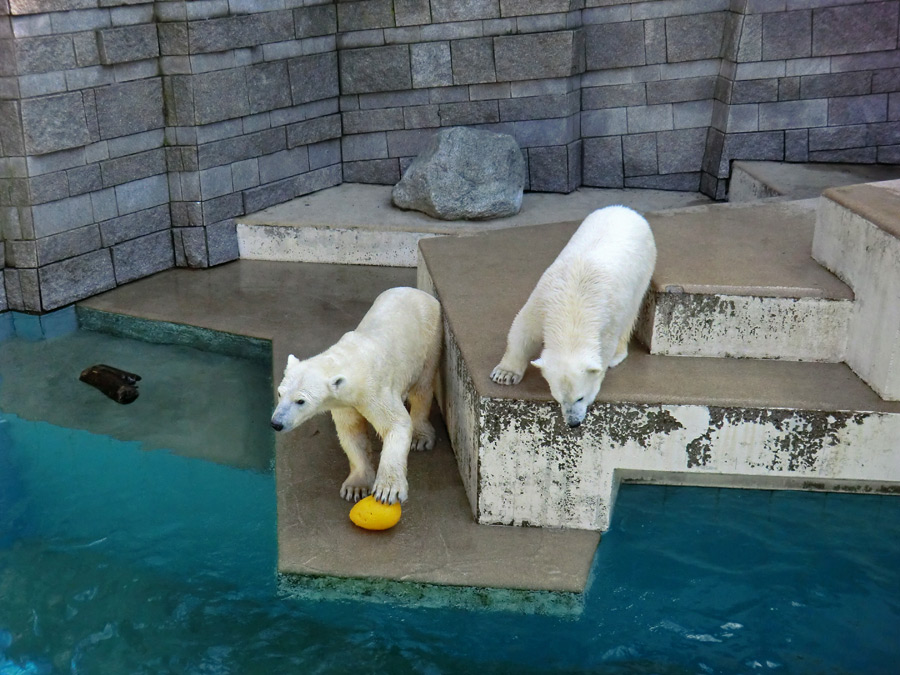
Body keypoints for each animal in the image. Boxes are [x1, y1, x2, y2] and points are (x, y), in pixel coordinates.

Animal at [270, 288, 442, 504]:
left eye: (301, 401)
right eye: (279, 393)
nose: (276, 423)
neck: (353, 360)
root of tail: (419, 292)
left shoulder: (376, 391)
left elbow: (396, 423)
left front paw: (388, 490)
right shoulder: (344, 403)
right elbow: (352, 433)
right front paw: (356, 487)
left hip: (429, 337)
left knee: (422, 386)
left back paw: (420, 436)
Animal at [492, 205, 652, 428]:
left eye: (580, 398)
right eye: (558, 398)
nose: (573, 423)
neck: (574, 306)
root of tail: (624, 210)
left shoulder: (609, 316)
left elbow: (606, 347)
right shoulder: (543, 301)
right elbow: (523, 329)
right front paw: (505, 374)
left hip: (644, 268)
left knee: (631, 313)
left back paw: (617, 356)